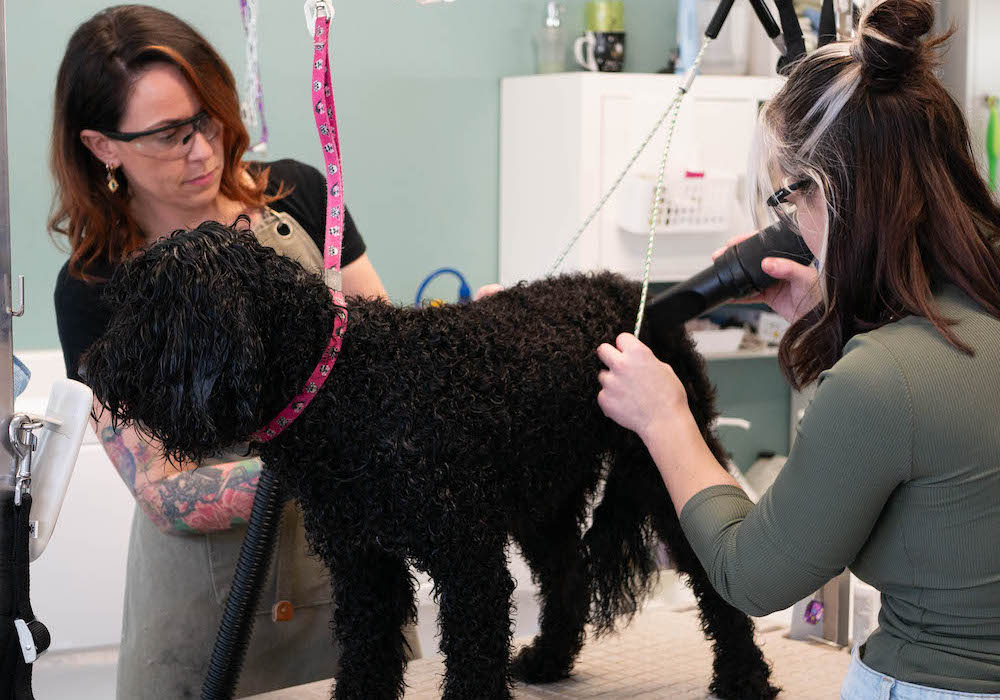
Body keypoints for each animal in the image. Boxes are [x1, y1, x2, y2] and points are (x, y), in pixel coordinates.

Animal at [82, 223, 776, 700]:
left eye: (149, 310)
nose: (88, 370)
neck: (347, 385)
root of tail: (635, 288)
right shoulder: (365, 567)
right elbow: (366, 661)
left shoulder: (467, 564)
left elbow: (471, 665)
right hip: (542, 498)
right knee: (567, 576)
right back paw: (550, 661)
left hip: (663, 465)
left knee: (717, 581)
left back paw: (744, 678)